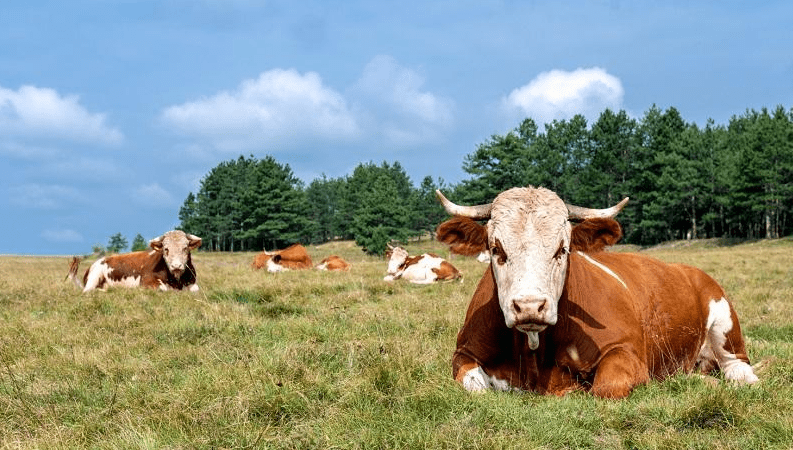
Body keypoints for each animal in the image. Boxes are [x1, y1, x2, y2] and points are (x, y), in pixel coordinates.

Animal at [67, 230, 203, 294]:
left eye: (185, 248)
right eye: (166, 248)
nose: (176, 266)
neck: (176, 281)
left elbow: (196, 290)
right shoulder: (146, 282)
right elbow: (163, 289)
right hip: (94, 276)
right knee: (88, 291)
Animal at [436, 188, 756, 400]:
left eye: (562, 249)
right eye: (496, 248)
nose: (529, 306)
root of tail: (689, 270)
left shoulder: (625, 350)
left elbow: (606, 386)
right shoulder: (464, 352)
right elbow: (475, 386)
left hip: (725, 323)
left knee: (737, 366)